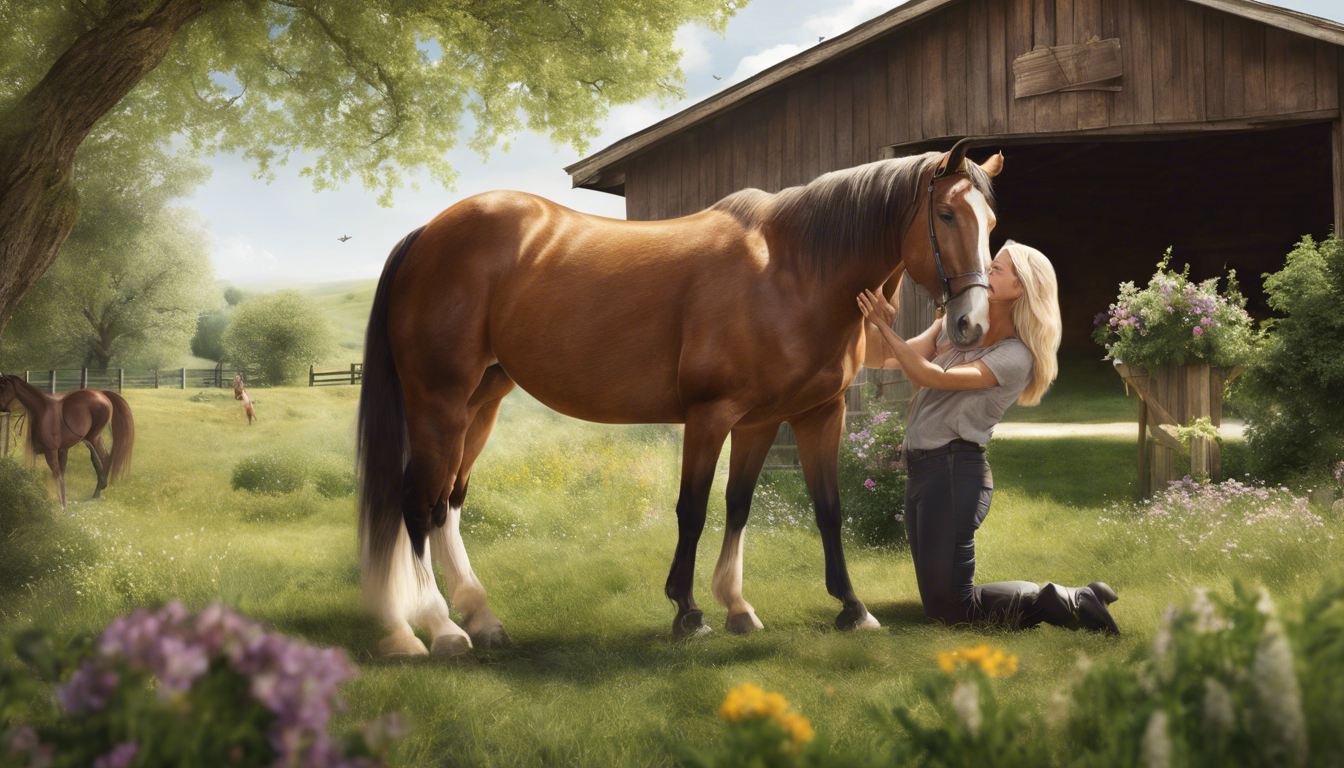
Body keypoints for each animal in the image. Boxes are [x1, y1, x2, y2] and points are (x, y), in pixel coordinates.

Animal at [0, 373, 135, 506]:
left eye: (2, 386)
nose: (1, 409)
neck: (42, 411)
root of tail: (102, 393)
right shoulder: (52, 451)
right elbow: (53, 474)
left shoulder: (51, 451)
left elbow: (57, 475)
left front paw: (62, 506)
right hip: (91, 438)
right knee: (100, 458)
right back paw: (97, 491)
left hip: (93, 437)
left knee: (103, 458)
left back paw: (99, 489)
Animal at [356, 145, 1002, 658]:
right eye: (946, 214)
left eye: (991, 218)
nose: (971, 324)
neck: (793, 275)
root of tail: (426, 235)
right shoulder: (710, 415)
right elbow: (693, 509)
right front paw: (689, 613)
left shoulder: (794, 417)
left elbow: (790, 507)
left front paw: (825, 607)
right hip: (438, 403)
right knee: (417, 502)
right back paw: (437, 630)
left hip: (481, 403)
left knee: (447, 503)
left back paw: (479, 619)